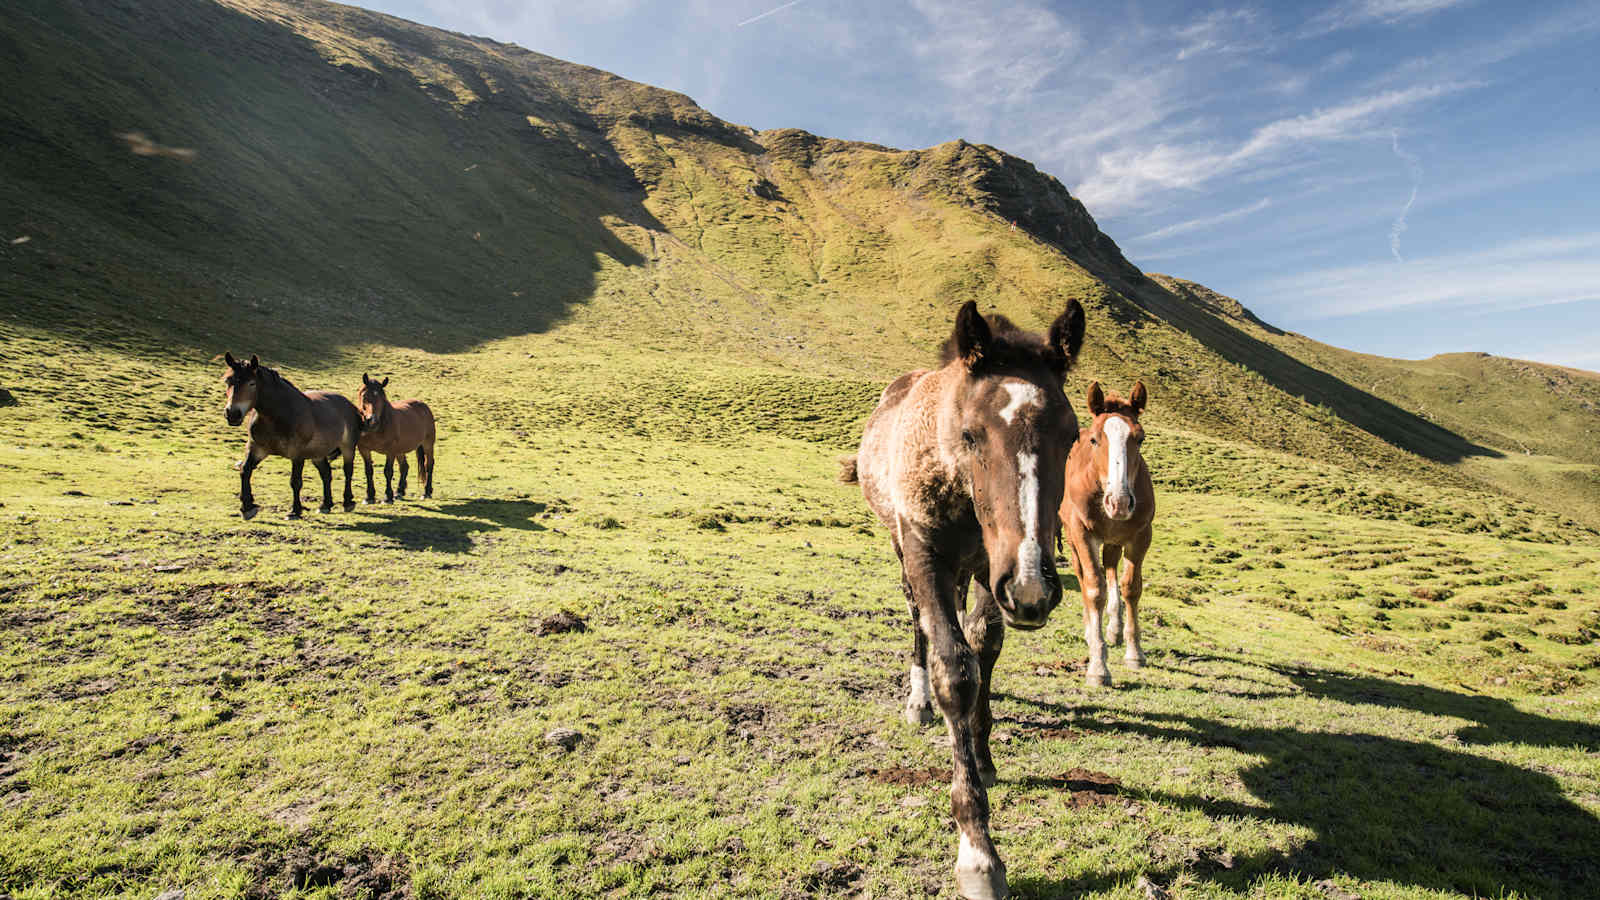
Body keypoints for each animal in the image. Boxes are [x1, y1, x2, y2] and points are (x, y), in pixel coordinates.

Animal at [222, 350, 360, 518]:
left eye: (251, 383)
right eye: (228, 381)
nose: (232, 414)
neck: (278, 416)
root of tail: (348, 404)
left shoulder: (297, 454)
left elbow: (295, 481)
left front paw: (295, 511)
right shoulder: (257, 449)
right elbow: (245, 470)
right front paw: (247, 507)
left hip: (347, 447)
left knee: (348, 471)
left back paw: (348, 502)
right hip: (318, 454)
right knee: (326, 474)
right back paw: (325, 505)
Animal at [838, 297, 1088, 890]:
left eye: (1071, 436)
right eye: (972, 434)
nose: (1033, 586)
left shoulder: (991, 569)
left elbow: (984, 644)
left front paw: (984, 749)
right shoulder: (926, 554)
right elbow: (955, 668)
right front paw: (977, 851)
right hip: (905, 551)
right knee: (919, 623)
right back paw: (918, 701)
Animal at [1062, 376, 1152, 679]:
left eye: (1140, 438)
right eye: (1094, 439)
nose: (1119, 502)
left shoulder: (1140, 536)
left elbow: (1131, 588)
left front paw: (1134, 653)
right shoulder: (1081, 533)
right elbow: (1093, 588)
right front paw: (1098, 665)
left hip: (1114, 540)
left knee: (1111, 569)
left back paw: (1114, 629)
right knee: (1084, 576)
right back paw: (1092, 632)